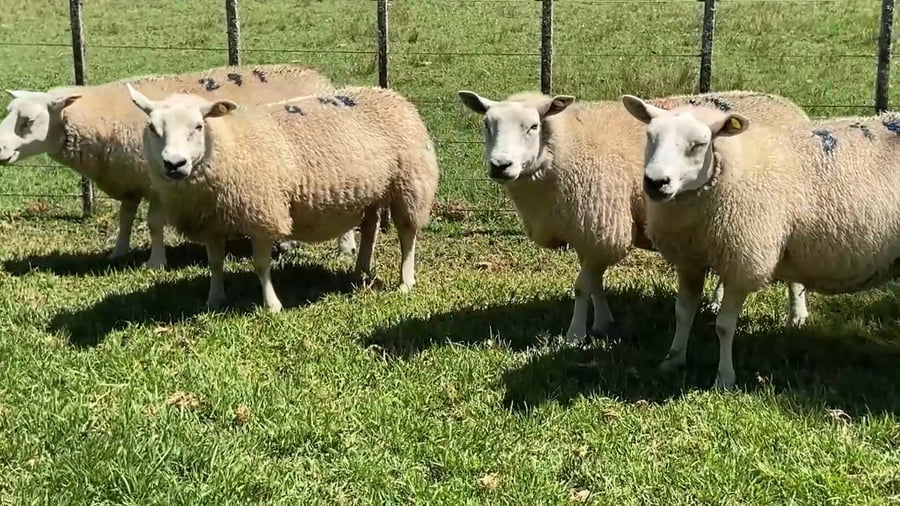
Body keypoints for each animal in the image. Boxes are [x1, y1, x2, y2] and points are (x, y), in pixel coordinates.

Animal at [0, 64, 357, 268]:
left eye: (28, 121)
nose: (0, 149)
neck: (101, 119)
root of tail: (323, 81)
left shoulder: (158, 183)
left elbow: (154, 225)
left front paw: (155, 263)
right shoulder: (130, 181)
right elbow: (125, 219)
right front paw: (118, 252)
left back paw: (346, 248)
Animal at [125, 83, 439, 312]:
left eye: (198, 126)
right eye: (152, 128)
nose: (174, 164)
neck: (230, 144)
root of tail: (391, 94)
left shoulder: (264, 215)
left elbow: (261, 265)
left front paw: (272, 305)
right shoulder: (212, 223)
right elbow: (215, 263)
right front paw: (214, 299)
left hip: (410, 182)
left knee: (407, 234)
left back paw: (405, 281)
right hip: (373, 188)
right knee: (371, 226)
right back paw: (360, 269)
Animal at [458, 89, 810, 345]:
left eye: (532, 127)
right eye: (487, 125)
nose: (500, 166)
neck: (566, 147)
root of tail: (791, 107)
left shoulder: (602, 225)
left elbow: (582, 287)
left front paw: (575, 335)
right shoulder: (590, 231)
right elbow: (595, 284)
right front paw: (603, 322)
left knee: (793, 274)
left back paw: (797, 316)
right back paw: (716, 301)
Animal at [621, 94, 900, 389]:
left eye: (699, 144)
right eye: (650, 136)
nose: (655, 182)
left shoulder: (743, 261)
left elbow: (724, 326)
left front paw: (724, 379)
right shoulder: (689, 259)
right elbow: (683, 313)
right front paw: (672, 361)